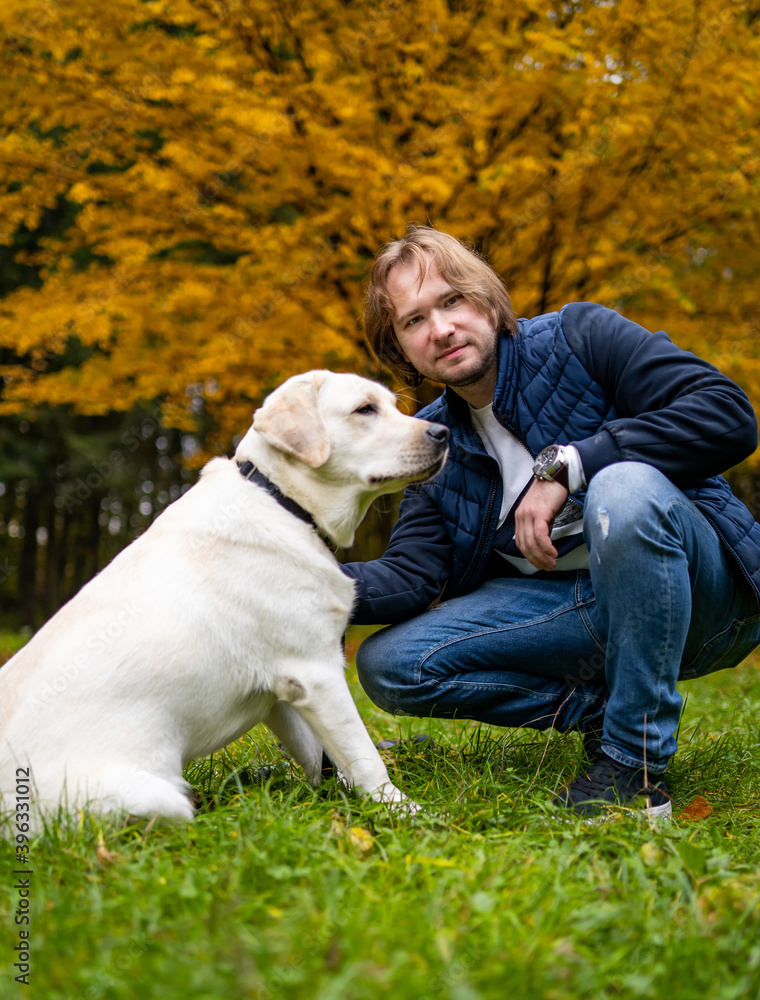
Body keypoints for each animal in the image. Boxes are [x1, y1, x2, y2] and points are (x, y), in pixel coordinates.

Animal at [0, 372, 448, 832]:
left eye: (392, 405)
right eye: (365, 409)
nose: (443, 433)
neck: (282, 502)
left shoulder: (285, 693)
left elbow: (323, 758)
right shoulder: (316, 673)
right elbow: (365, 757)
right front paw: (405, 812)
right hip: (154, 797)